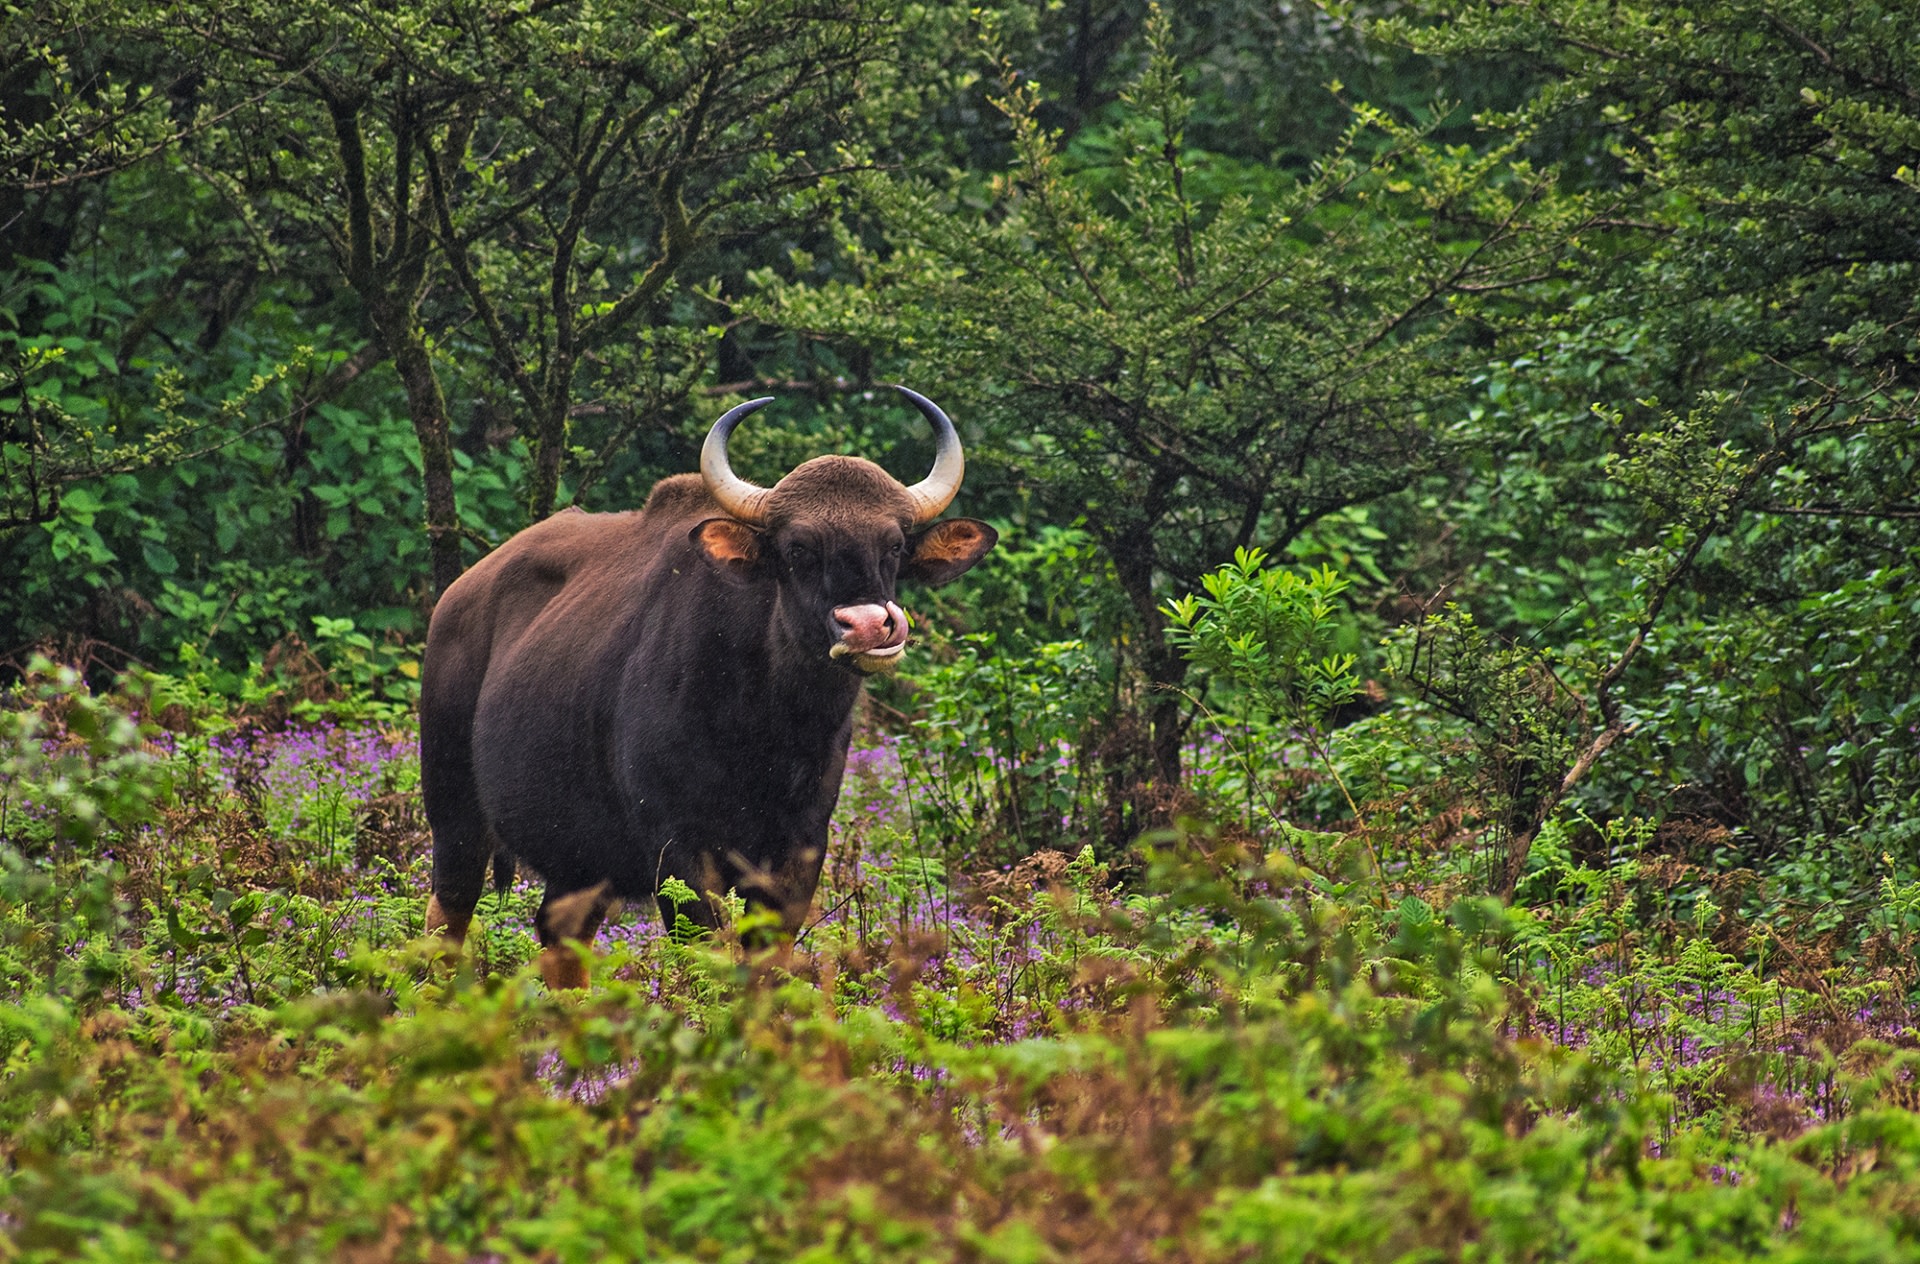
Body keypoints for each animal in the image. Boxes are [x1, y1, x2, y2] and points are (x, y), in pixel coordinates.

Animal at [418, 387, 996, 987]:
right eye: (797, 549)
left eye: (894, 546)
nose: (864, 626)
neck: (767, 731)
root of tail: (458, 595)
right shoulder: (679, 848)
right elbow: (710, 960)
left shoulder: (802, 846)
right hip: (453, 809)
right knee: (447, 917)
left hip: (579, 857)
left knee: (560, 937)